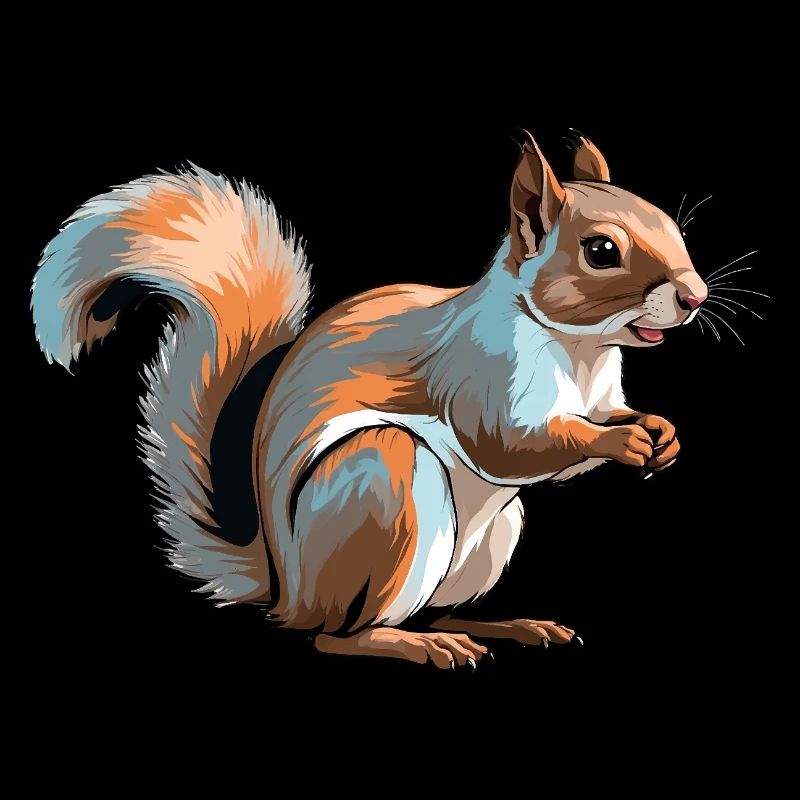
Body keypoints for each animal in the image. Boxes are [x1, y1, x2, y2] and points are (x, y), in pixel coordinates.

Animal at [31, 131, 707, 669]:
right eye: (601, 251)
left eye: (673, 228)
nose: (695, 296)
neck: (578, 348)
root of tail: (287, 591)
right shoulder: (478, 375)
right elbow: (510, 445)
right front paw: (619, 440)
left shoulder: (601, 390)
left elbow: (604, 416)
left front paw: (659, 431)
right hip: (382, 478)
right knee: (336, 635)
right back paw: (408, 644)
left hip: (492, 538)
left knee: (431, 610)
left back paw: (502, 626)